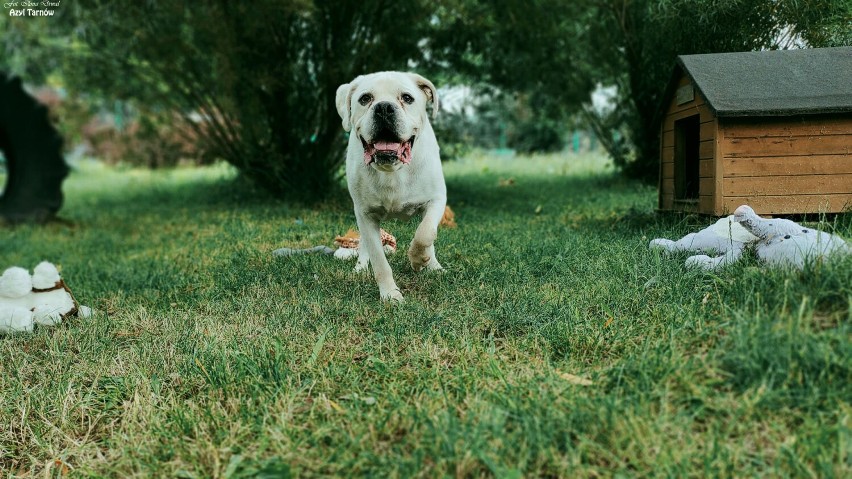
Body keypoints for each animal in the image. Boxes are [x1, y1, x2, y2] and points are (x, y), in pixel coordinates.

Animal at [336, 71, 450, 302]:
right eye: (365, 99)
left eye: (407, 98)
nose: (384, 108)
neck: (392, 170)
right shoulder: (365, 214)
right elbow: (379, 260)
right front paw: (390, 295)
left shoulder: (436, 200)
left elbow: (425, 233)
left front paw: (418, 259)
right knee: (364, 245)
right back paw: (360, 267)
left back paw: (433, 265)